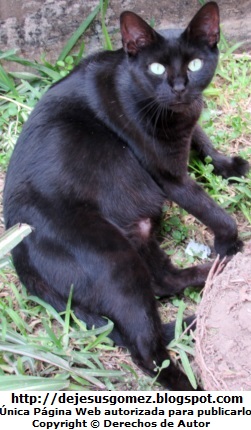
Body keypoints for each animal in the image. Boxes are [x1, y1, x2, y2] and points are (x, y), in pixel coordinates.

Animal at [2, 2, 250, 390]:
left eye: (195, 64)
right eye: (157, 68)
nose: (179, 87)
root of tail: (19, 256)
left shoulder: (187, 125)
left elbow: (202, 138)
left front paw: (230, 166)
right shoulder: (168, 176)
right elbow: (215, 212)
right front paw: (230, 245)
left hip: (139, 236)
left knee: (163, 283)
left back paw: (210, 276)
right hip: (114, 259)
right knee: (146, 350)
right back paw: (190, 384)